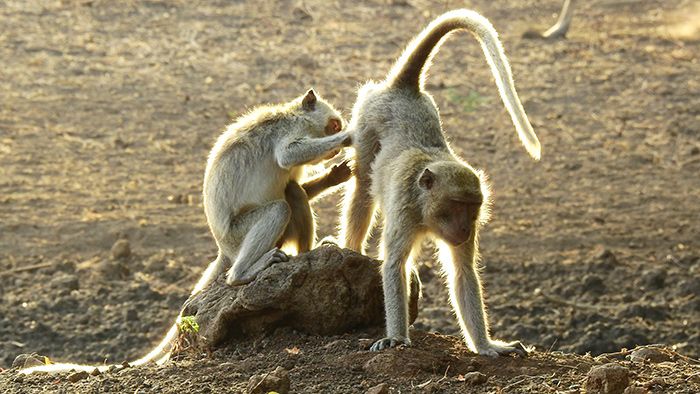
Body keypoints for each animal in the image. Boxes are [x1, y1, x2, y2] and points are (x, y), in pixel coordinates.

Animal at [20, 88, 356, 372]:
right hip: (237, 234)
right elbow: (288, 156)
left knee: (291, 192)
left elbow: (296, 181)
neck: (291, 114)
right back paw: (242, 274)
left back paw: (307, 252)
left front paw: (336, 175)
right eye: (333, 125)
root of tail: (223, 247)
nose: (336, 136)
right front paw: (348, 138)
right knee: (279, 208)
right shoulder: (288, 130)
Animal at [340, 9, 540, 356]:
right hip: (366, 119)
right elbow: (394, 264)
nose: (464, 229)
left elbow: (463, 272)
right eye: (456, 205)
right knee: (363, 184)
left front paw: (486, 345)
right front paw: (397, 337)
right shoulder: (405, 210)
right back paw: (350, 248)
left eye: (472, 208)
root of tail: (404, 88)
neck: (425, 207)